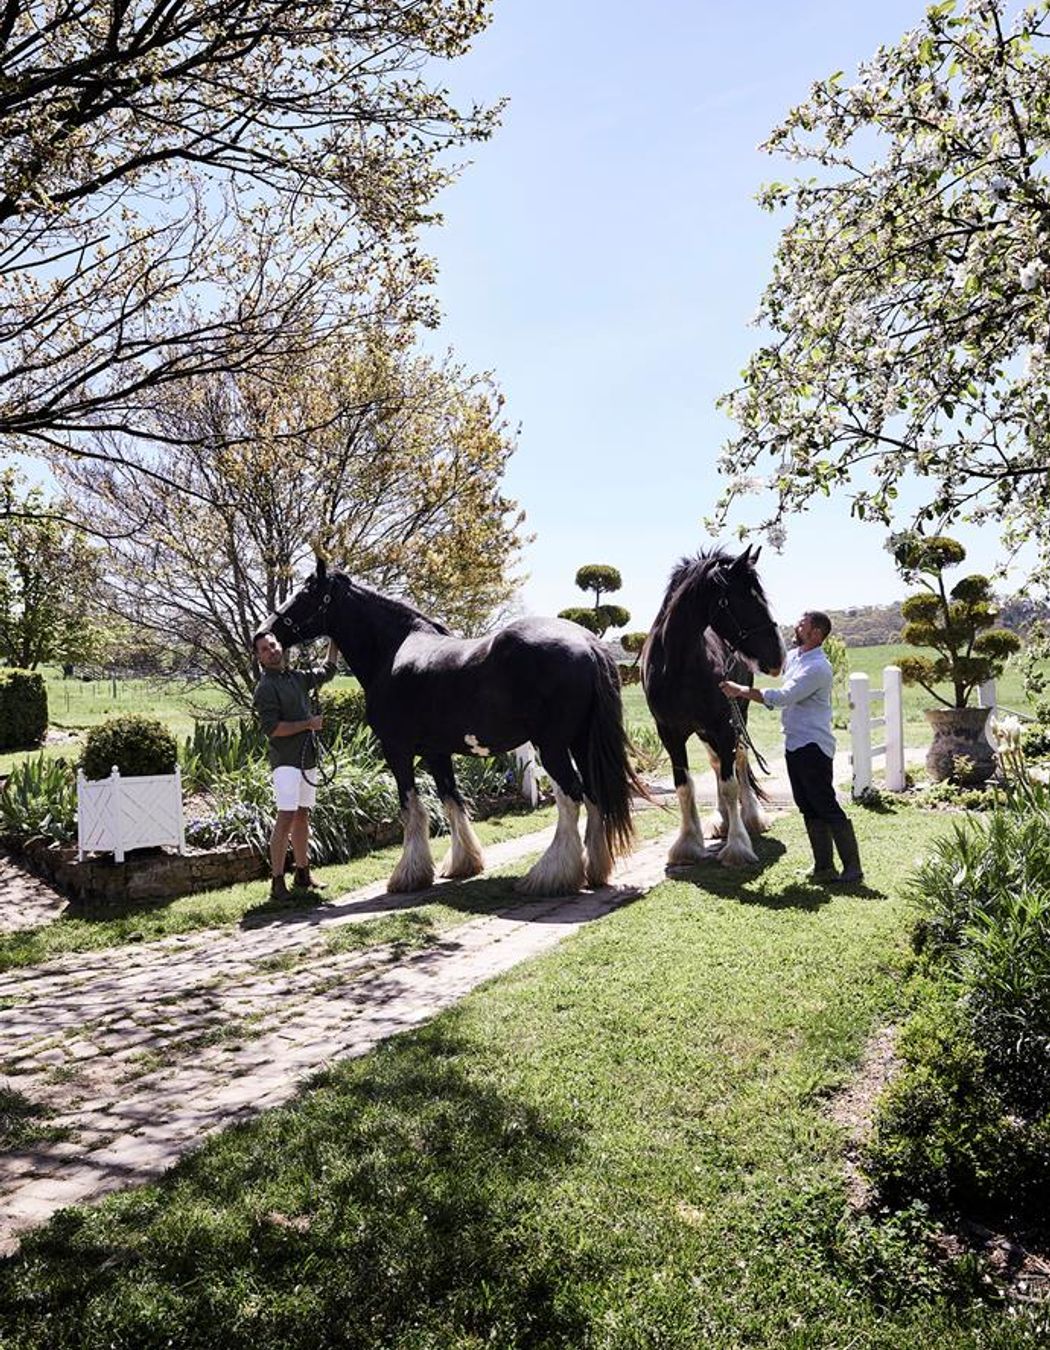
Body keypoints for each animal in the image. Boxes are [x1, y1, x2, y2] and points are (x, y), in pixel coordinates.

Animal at [257, 559, 646, 896]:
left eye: (305, 593)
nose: (264, 634)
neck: (393, 650)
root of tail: (589, 644)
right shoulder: (437, 752)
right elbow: (451, 801)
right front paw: (463, 864)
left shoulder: (397, 749)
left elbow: (411, 808)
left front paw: (408, 875)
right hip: (580, 741)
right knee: (594, 796)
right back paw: (594, 869)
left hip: (551, 746)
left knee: (571, 798)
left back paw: (549, 876)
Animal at [641, 545, 786, 868]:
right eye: (744, 599)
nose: (779, 657)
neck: (677, 665)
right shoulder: (670, 733)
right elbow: (684, 786)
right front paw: (687, 844)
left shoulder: (724, 726)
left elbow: (730, 783)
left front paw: (737, 846)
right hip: (705, 730)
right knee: (717, 763)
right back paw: (722, 819)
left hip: (737, 716)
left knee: (739, 760)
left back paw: (750, 818)